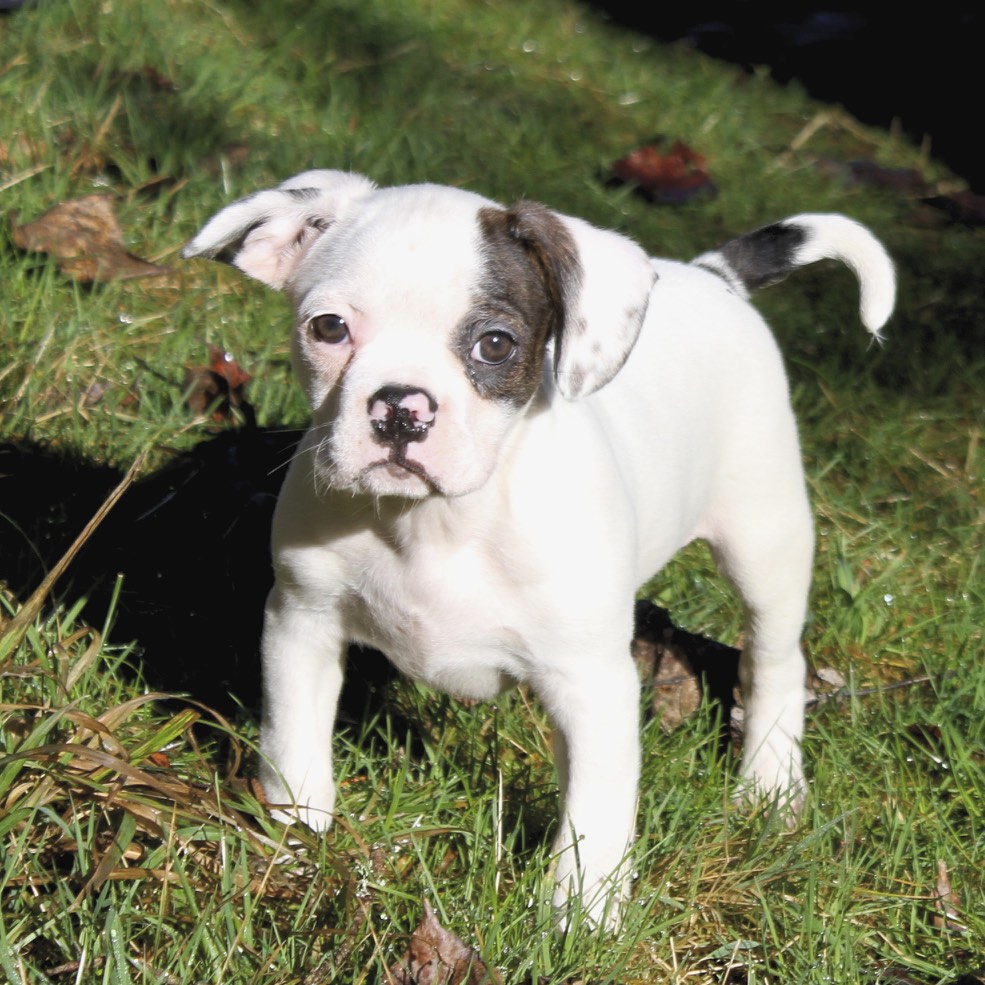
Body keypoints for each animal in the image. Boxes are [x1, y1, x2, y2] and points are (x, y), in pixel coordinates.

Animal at [183, 170, 895, 927]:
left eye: (495, 344)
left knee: (773, 662)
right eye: (328, 328)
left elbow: (597, 811)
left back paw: (769, 785)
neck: (435, 524)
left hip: (765, 540)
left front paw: (581, 919)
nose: (400, 408)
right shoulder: (302, 625)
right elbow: (293, 753)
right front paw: (295, 853)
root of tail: (713, 275)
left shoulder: (594, 684)